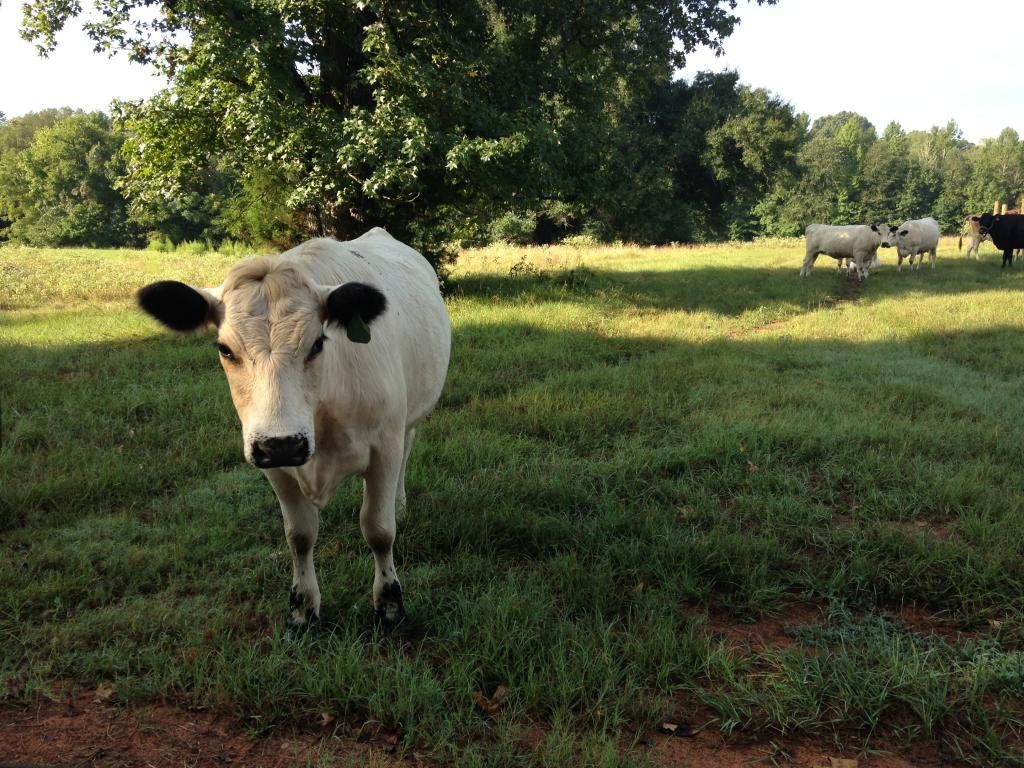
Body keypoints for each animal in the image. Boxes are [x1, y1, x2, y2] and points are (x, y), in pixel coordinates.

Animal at [136, 229, 452, 633]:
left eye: (318, 343)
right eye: (225, 349)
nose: (283, 445)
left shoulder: (385, 446)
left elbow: (379, 530)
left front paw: (390, 606)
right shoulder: (274, 464)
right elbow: (299, 535)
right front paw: (302, 610)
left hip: (409, 418)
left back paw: (400, 503)